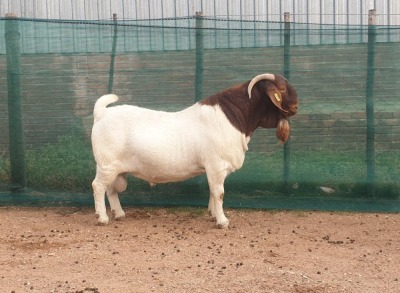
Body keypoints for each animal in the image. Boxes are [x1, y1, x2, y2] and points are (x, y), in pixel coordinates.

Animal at [90, 72, 296, 227]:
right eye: (282, 89)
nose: (295, 107)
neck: (233, 117)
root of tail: (102, 113)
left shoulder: (213, 169)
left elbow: (213, 192)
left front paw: (213, 216)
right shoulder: (216, 165)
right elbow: (219, 192)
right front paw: (222, 222)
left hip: (115, 168)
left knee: (111, 189)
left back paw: (119, 214)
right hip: (107, 164)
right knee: (98, 186)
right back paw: (102, 218)